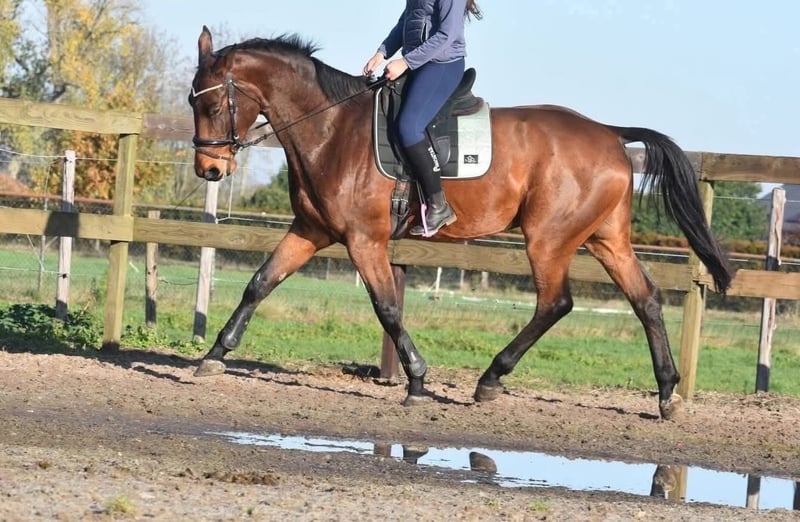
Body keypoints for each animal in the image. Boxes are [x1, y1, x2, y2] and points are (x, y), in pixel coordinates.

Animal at [188, 26, 735, 420]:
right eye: (194, 103)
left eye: (213, 104)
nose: (209, 170)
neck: (331, 130)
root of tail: (609, 133)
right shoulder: (312, 231)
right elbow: (259, 284)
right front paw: (214, 355)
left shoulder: (365, 240)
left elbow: (387, 308)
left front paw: (416, 381)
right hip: (605, 238)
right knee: (646, 299)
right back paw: (666, 394)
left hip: (549, 238)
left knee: (555, 302)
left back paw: (491, 379)